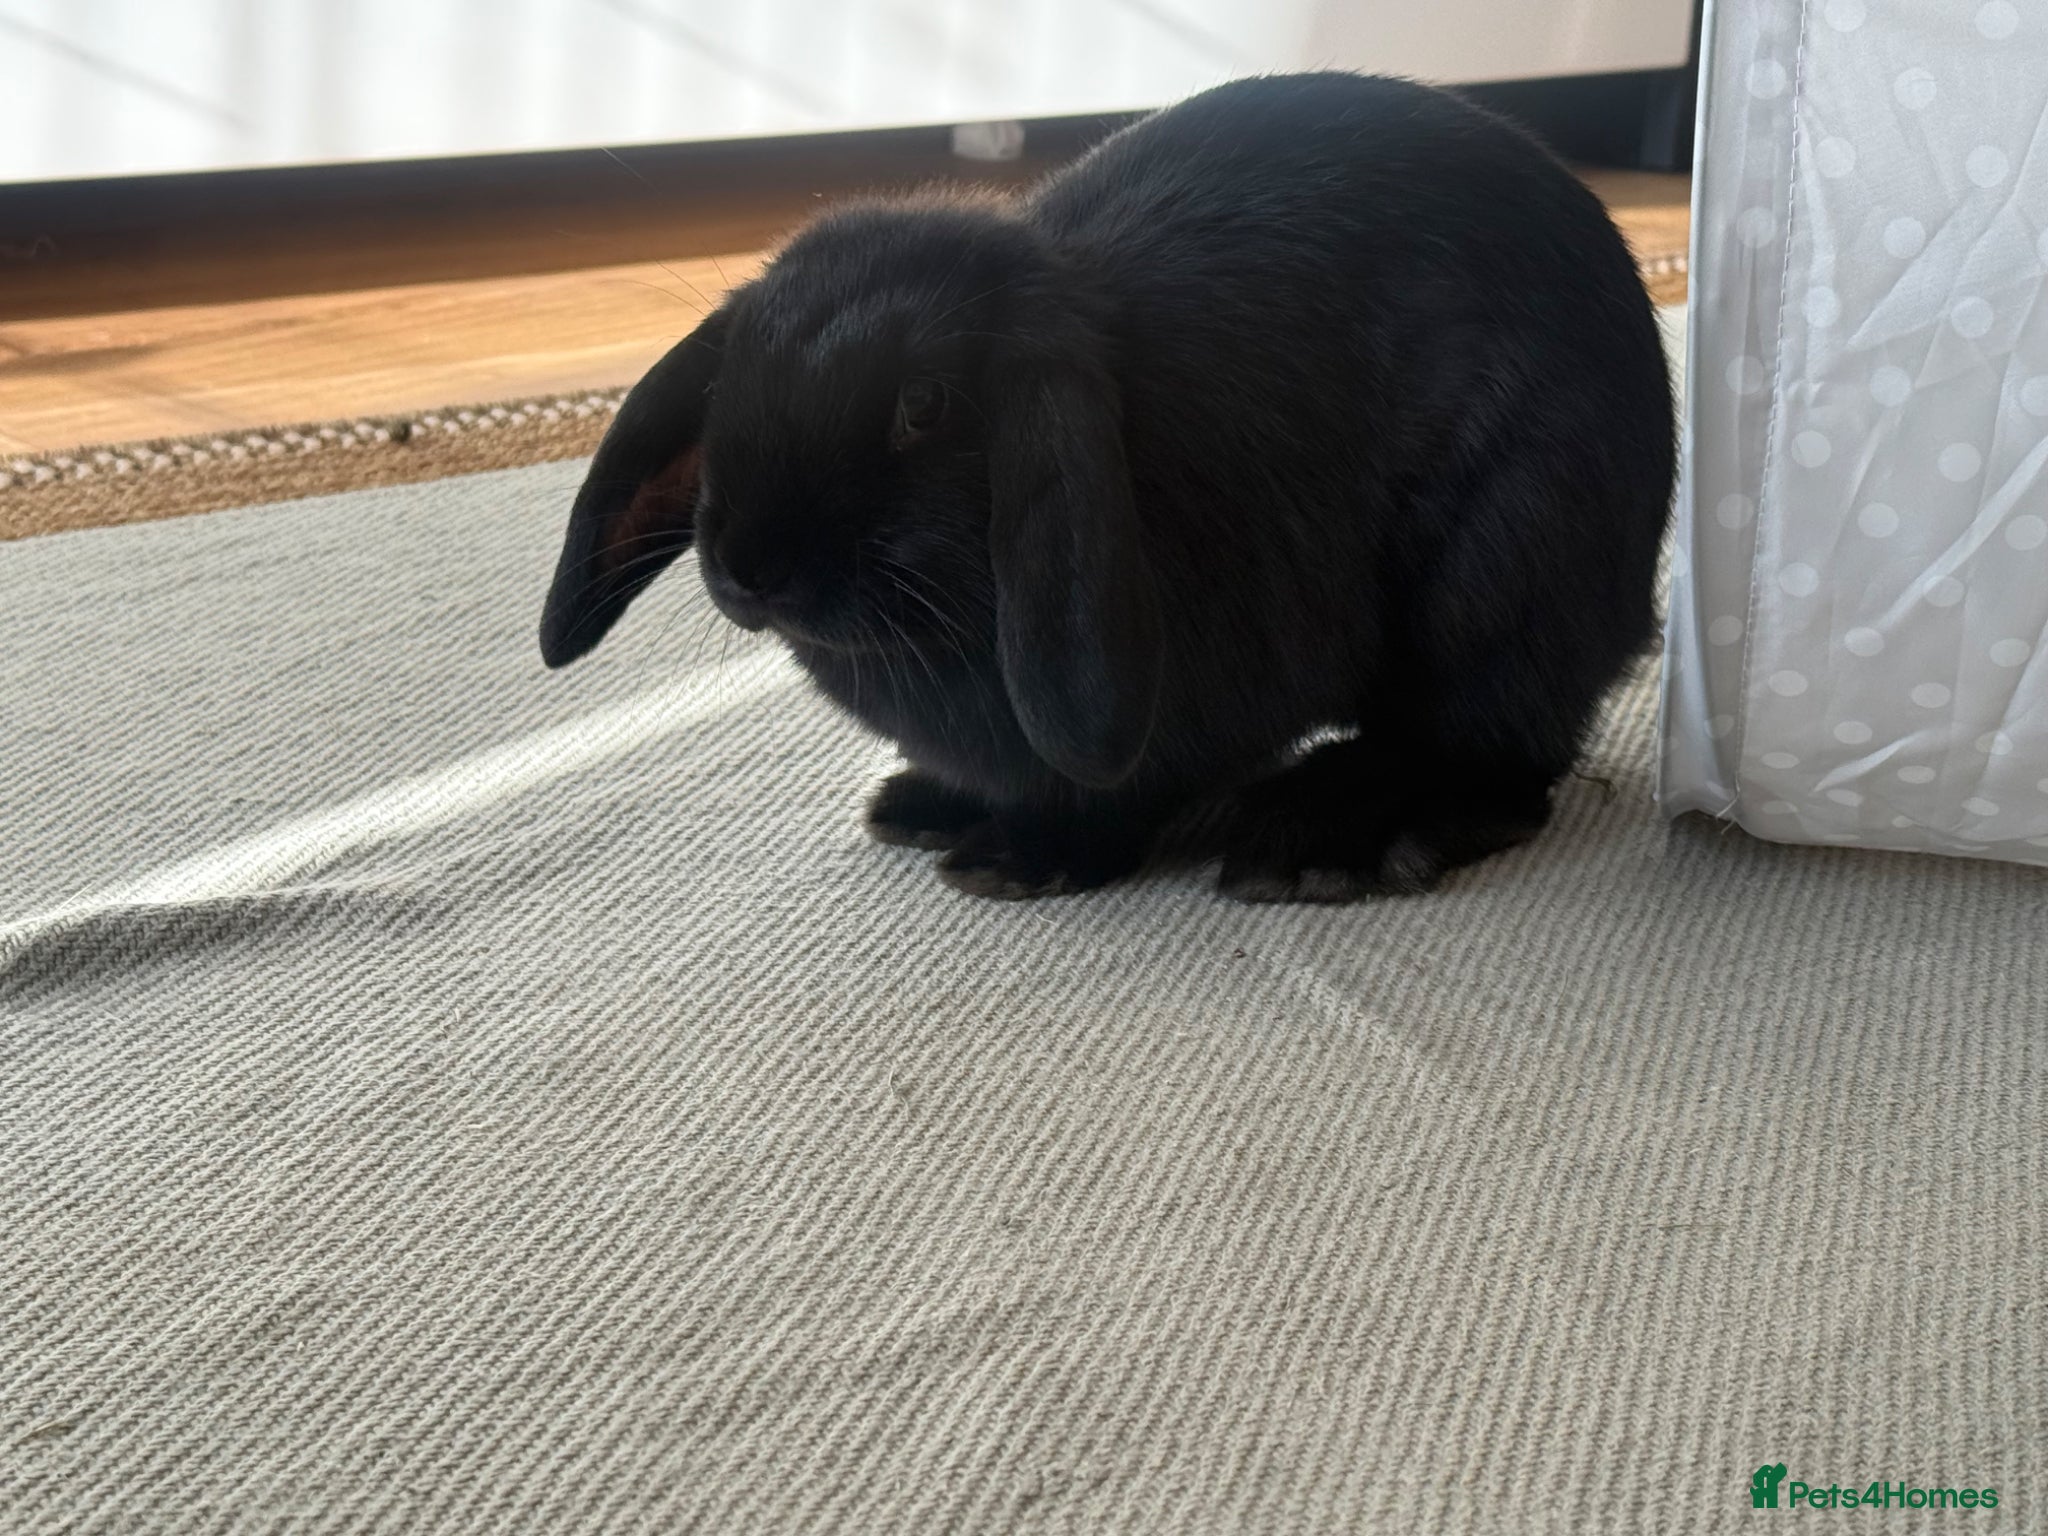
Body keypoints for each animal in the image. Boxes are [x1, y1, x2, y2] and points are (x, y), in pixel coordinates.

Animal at [539, 72, 1676, 902]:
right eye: (730, 379)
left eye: (924, 404)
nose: (747, 566)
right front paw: (928, 805)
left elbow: (1113, 801)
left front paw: (1013, 863)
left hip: (1499, 579)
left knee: (1493, 762)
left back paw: (1320, 846)